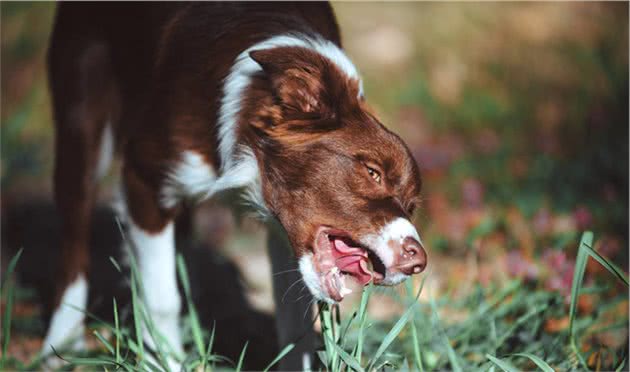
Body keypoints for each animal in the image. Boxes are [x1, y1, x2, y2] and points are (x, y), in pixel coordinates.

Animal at [45, 2, 430, 370]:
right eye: (372, 172)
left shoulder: (281, 233)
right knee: (74, 237)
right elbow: (163, 298)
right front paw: (164, 360)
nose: (418, 261)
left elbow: (296, 327)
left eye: (411, 205)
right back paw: (62, 342)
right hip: (82, 108)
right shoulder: (145, 179)